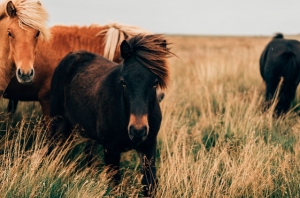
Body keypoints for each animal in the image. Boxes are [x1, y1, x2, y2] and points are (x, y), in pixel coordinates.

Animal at [49, 34, 173, 196]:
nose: (137, 131)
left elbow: (149, 184)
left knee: (89, 154)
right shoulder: (111, 151)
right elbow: (115, 186)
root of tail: (71, 55)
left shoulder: (148, 147)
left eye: (155, 82)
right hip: (57, 121)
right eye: (123, 82)